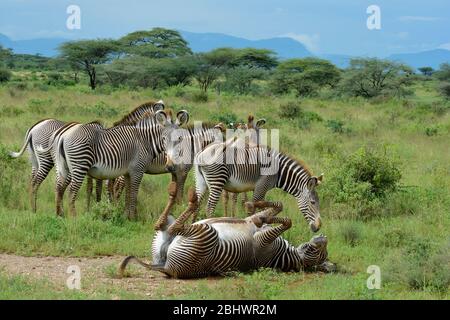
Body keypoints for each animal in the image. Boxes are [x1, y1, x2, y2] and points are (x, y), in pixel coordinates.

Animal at [47, 109, 190, 219]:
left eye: (179, 138)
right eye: (164, 139)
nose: (170, 166)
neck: (145, 141)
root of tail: (64, 135)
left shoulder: (127, 173)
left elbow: (127, 194)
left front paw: (126, 216)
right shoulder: (137, 171)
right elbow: (133, 194)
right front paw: (133, 218)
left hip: (65, 167)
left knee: (59, 188)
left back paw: (59, 215)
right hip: (79, 165)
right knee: (71, 192)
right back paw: (74, 218)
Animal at [119, 184, 334, 278]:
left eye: (319, 253)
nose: (323, 237)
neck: (286, 256)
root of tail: (165, 268)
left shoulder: (261, 242)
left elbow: (287, 221)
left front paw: (261, 216)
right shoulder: (252, 224)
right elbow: (278, 207)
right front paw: (256, 206)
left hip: (206, 233)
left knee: (174, 226)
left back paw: (190, 198)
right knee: (164, 224)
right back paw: (174, 192)